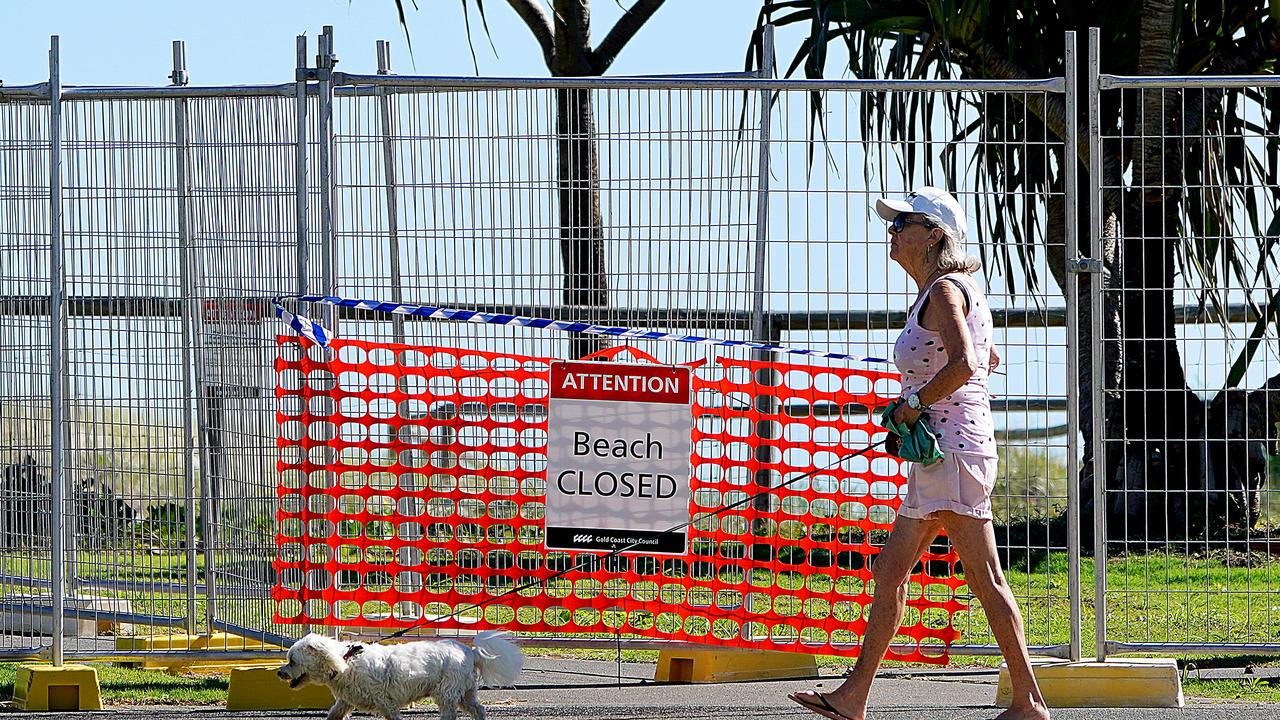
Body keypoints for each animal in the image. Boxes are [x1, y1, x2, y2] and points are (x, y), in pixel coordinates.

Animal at [277, 630, 522, 712]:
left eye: (292, 661)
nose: (279, 673)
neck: (346, 662)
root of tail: (470, 652)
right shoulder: (344, 702)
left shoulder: (387, 703)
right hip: (466, 693)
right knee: (478, 709)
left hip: (447, 693)